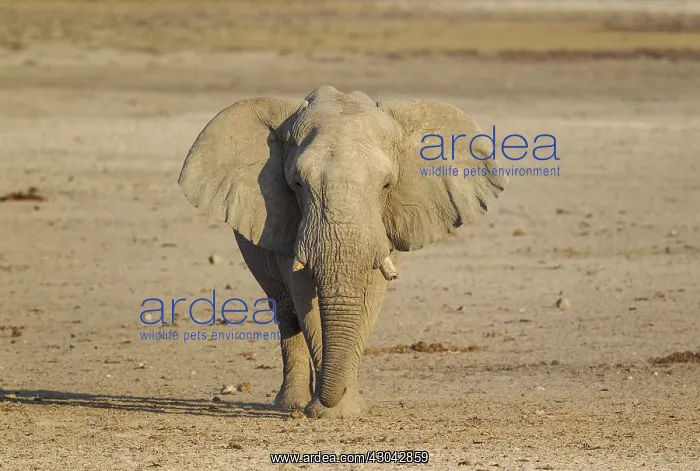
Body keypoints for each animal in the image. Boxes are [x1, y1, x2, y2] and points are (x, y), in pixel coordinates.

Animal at [177, 85, 508, 418]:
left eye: (386, 185)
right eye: (297, 184)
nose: (331, 398)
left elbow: (370, 298)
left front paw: (346, 410)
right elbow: (304, 298)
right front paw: (327, 412)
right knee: (285, 309)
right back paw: (291, 404)